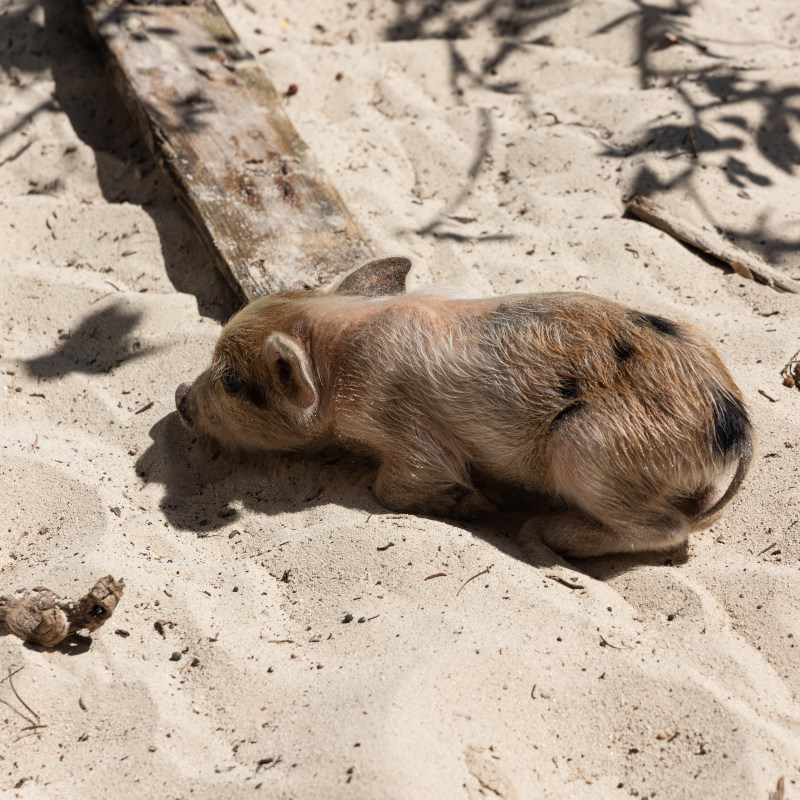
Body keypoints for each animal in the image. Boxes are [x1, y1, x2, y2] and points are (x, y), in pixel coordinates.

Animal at [175, 257, 752, 557]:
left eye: (231, 381)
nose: (179, 396)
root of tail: (734, 426)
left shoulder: (404, 431)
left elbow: (393, 487)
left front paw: (476, 505)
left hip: (591, 449)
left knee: (667, 528)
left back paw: (543, 532)